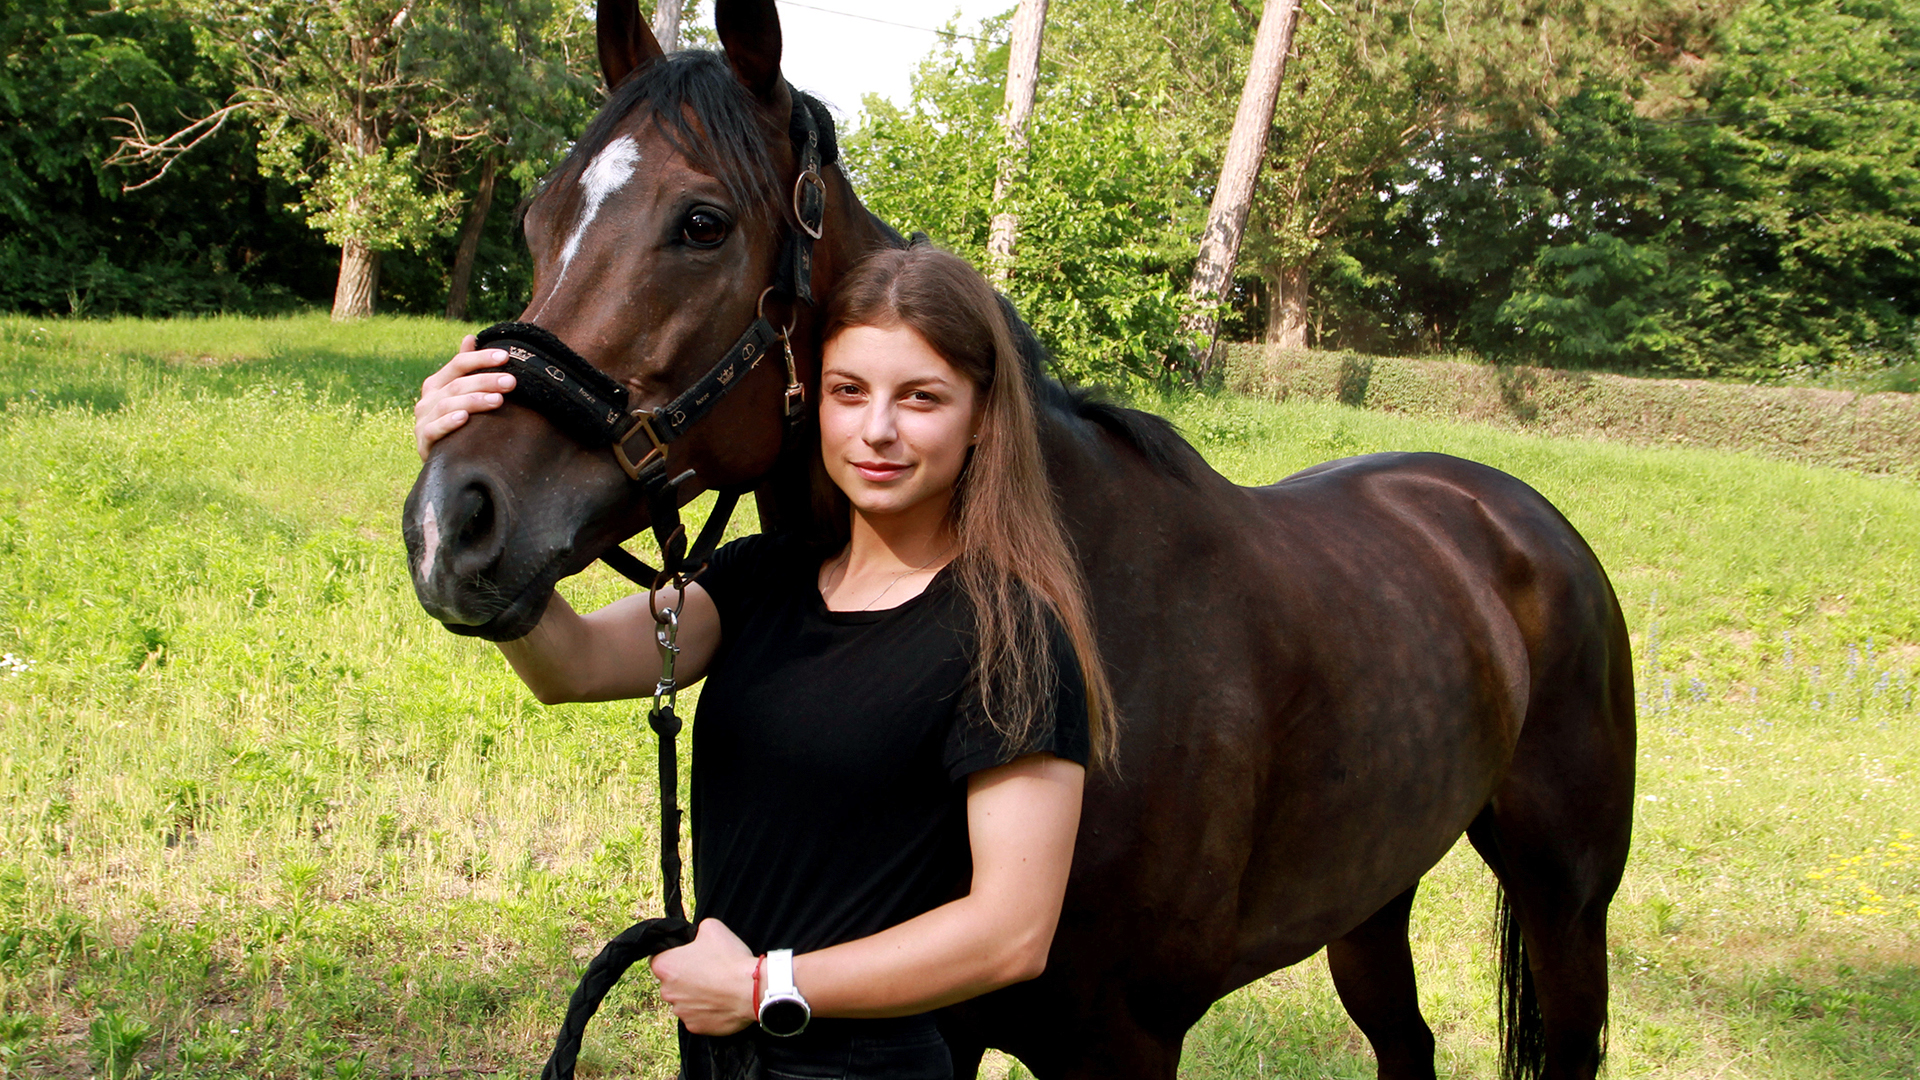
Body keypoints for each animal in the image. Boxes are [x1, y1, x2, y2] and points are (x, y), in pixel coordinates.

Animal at [405, 4, 1635, 1068]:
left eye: (701, 223)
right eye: (539, 220)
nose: (450, 523)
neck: (1099, 618)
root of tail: (1508, 511)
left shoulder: (1125, 1042)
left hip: (1567, 901)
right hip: (1373, 892)